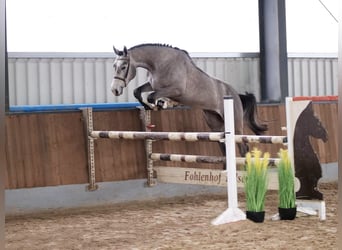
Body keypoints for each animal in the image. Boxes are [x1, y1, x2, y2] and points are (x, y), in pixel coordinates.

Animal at [110, 44, 268, 155]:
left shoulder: (176, 90)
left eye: (123, 66)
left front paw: (158, 105)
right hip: (215, 123)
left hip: (236, 124)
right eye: (114, 66)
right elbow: (137, 91)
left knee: (243, 147)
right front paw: (150, 106)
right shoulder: (153, 85)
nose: (115, 90)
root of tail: (236, 94)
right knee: (224, 147)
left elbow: (151, 96)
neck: (161, 63)